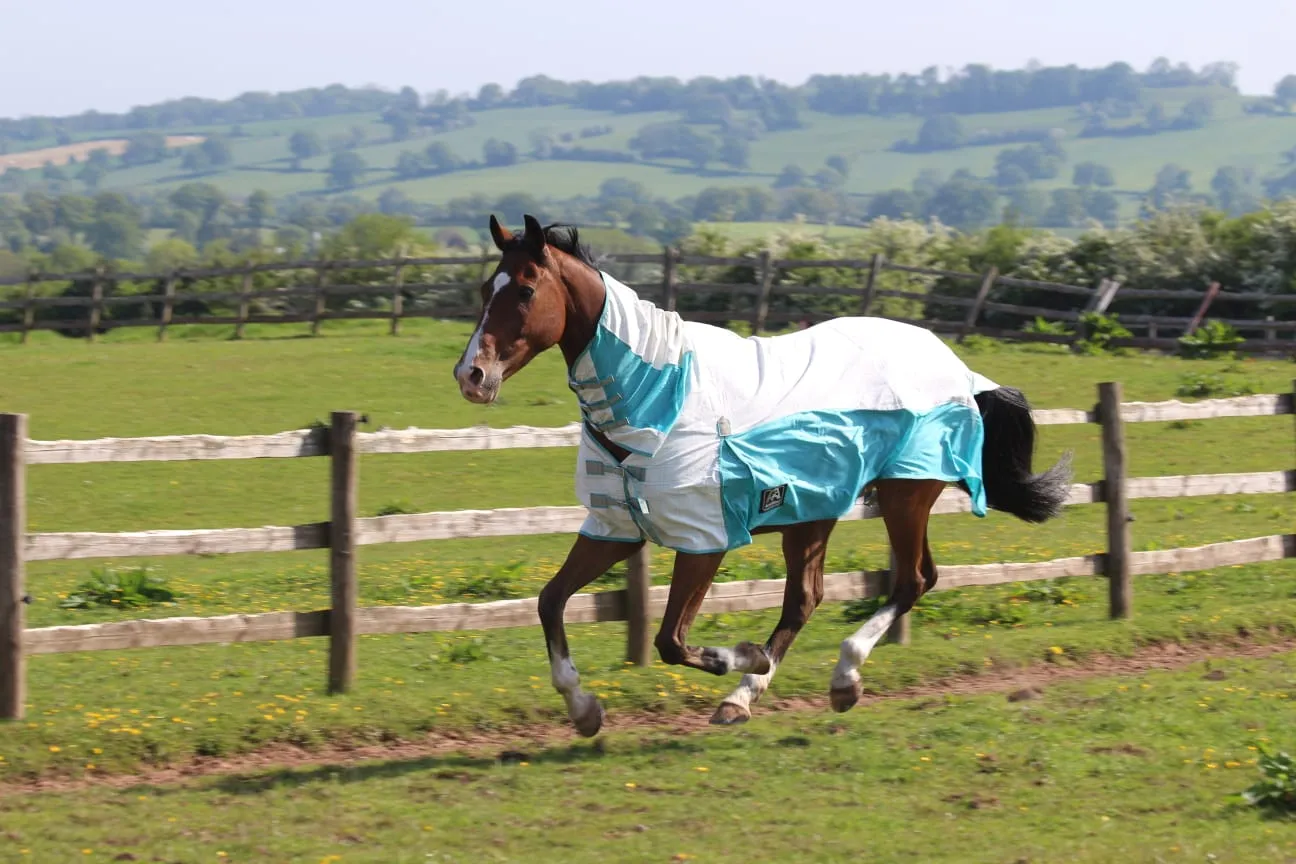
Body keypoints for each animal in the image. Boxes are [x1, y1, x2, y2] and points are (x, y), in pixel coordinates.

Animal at [451, 216, 1067, 735]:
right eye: (484, 289)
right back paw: (746, 697)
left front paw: (745, 655)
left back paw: (837, 677)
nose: (471, 375)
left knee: (910, 581)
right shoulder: (616, 529)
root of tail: (960, 370)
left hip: (904, 495)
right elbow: (550, 601)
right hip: (816, 511)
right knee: (816, 597)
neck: (657, 398)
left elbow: (671, 640)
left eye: (525, 290)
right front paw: (583, 710)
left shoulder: (705, 541)